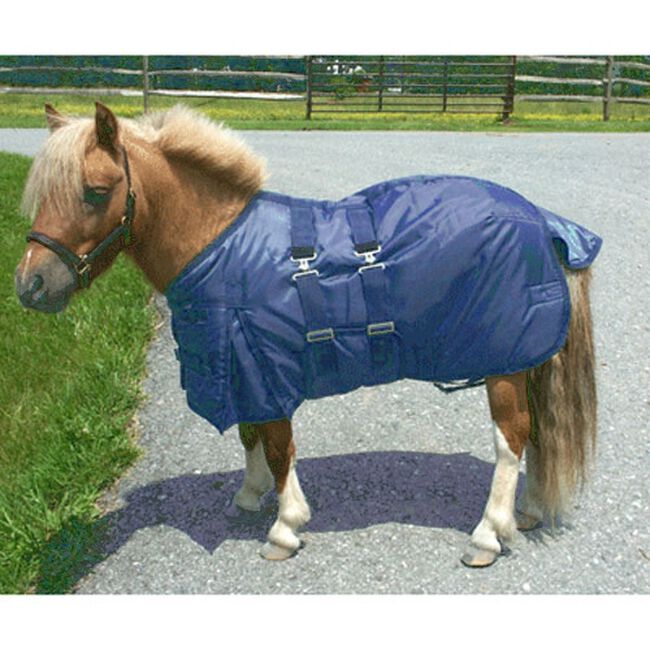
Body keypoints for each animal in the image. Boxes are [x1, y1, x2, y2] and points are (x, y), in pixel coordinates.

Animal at [15, 102, 600, 568]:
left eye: (95, 192)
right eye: (42, 195)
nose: (30, 285)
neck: (222, 247)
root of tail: (541, 220)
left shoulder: (265, 367)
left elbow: (277, 448)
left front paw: (285, 525)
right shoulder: (243, 369)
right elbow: (250, 436)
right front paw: (248, 497)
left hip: (504, 363)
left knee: (511, 439)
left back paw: (487, 535)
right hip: (523, 363)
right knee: (535, 434)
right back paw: (525, 513)